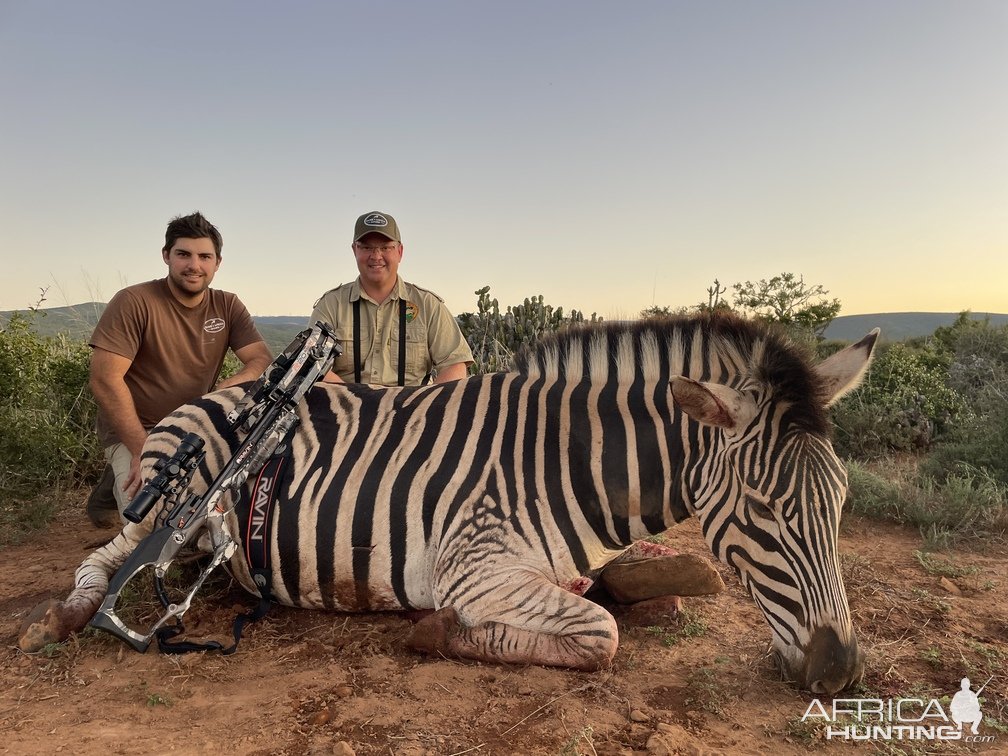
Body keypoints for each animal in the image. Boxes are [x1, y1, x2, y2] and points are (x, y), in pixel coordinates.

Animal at [21, 310, 874, 697]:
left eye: (840, 503)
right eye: (763, 513)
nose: (840, 672)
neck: (571, 465)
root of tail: (216, 393)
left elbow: (631, 600)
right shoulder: (478, 566)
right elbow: (601, 636)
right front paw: (437, 632)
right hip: (178, 497)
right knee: (110, 556)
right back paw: (63, 618)